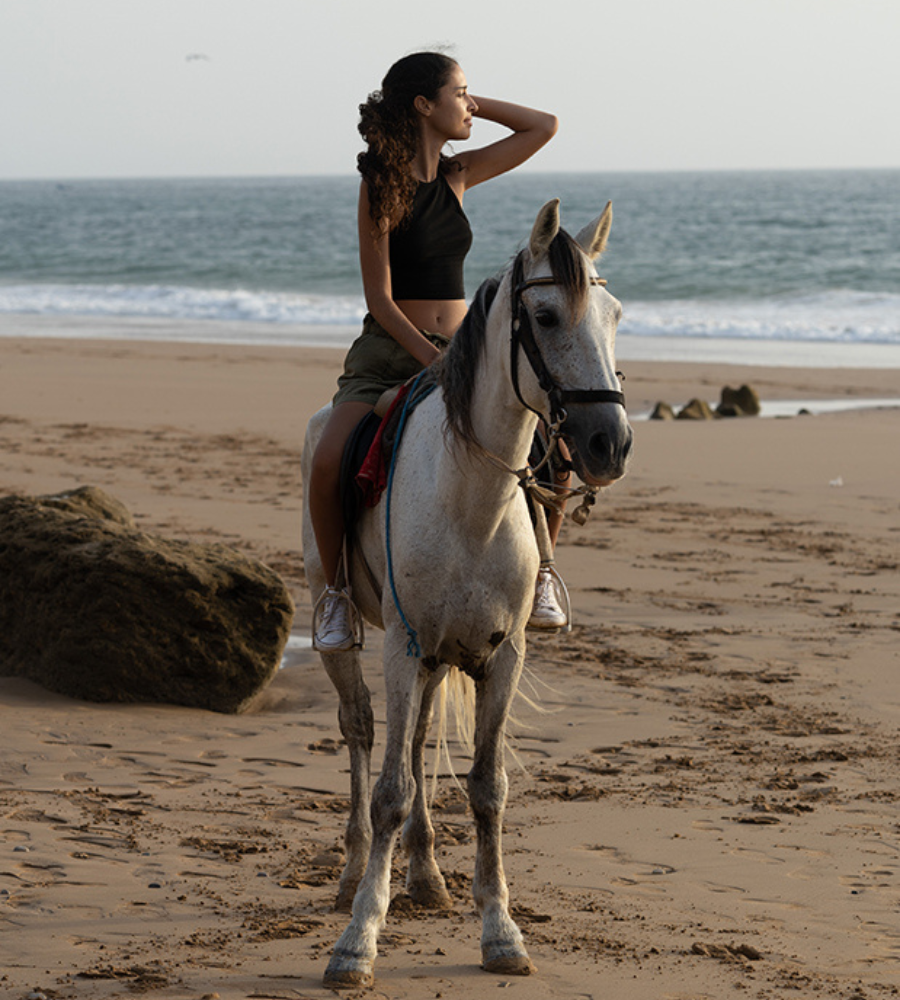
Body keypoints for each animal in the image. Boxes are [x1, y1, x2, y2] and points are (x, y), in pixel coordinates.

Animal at [302, 199, 632, 988]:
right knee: (362, 732)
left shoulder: (501, 655)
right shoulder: (403, 646)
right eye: (545, 314)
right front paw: (358, 940)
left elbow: (486, 787)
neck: (471, 501)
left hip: (439, 659)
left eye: (615, 316)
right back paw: (353, 874)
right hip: (353, 635)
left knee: (419, 738)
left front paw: (500, 930)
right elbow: (390, 789)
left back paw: (424, 876)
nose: (610, 443)